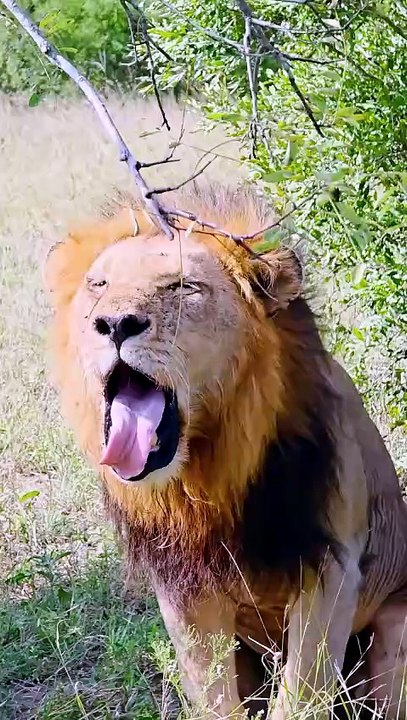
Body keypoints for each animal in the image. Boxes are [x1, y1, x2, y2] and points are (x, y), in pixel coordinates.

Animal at [45, 186, 407, 719]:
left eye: (183, 287)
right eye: (98, 284)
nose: (112, 324)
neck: (210, 473)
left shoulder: (330, 568)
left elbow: (301, 691)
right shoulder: (185, 591)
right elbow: (213, 692)